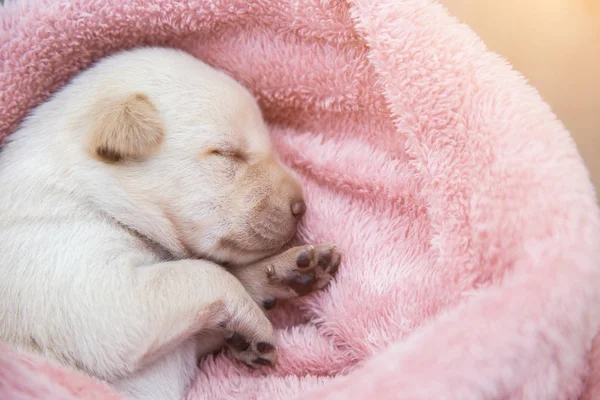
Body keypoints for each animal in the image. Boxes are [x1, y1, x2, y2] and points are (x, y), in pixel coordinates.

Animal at [0, 47, 338, 400]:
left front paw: (285, 273)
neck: (94, 196)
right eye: (226, 154)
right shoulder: (92, 286)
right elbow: (206, 273)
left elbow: (214, 280)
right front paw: (253, 320)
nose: (301, 207)